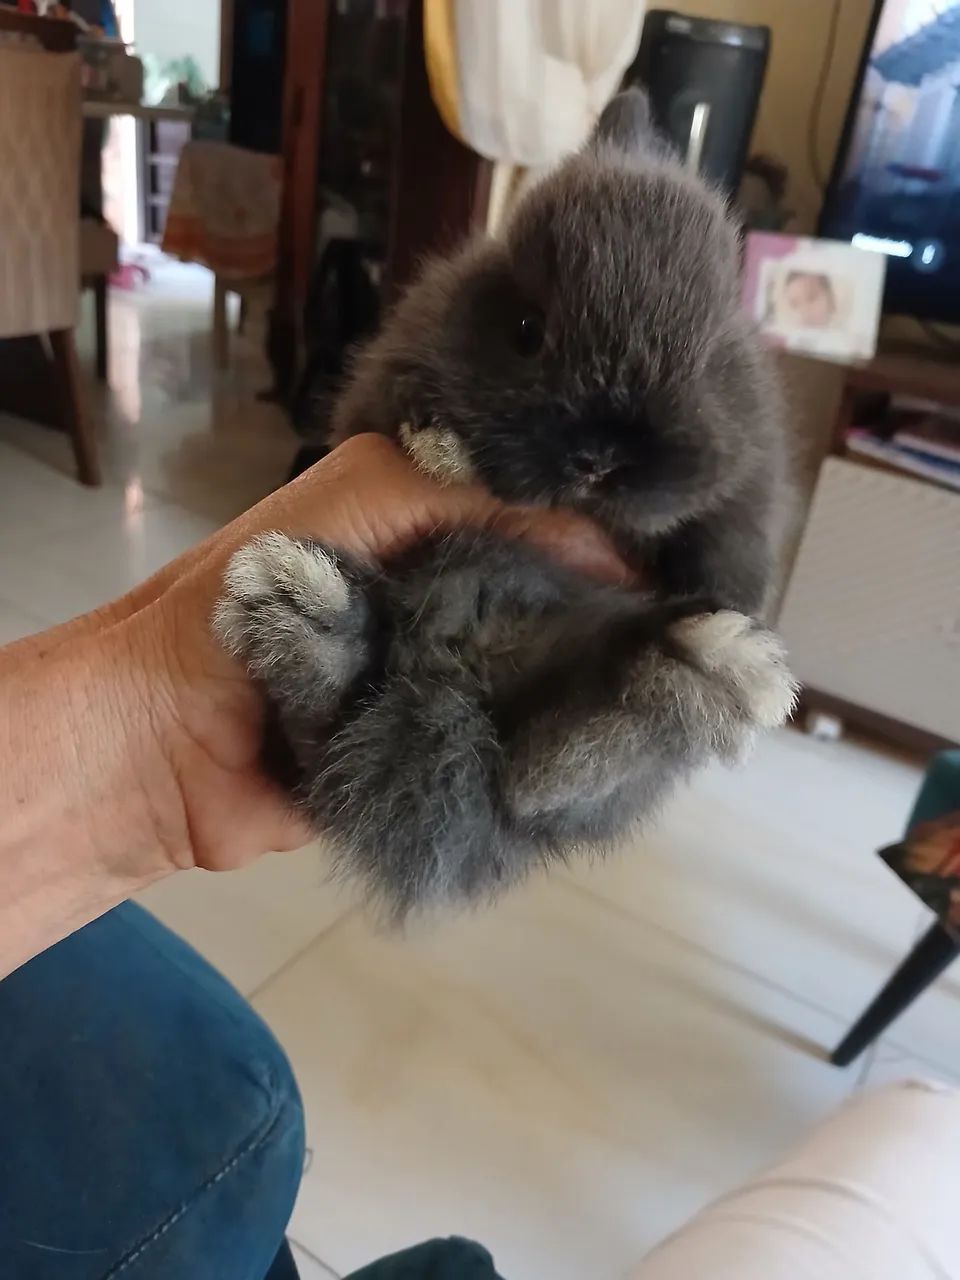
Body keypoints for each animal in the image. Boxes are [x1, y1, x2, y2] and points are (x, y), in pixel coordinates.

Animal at [214, 90, 796, 919]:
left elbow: (728, 542)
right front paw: (441, 449)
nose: (600, 458)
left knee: (544, 777)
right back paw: (305, 617)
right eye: (527, 331)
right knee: (348, 724)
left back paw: (713, 667)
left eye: (713, 353)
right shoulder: (382, 386)